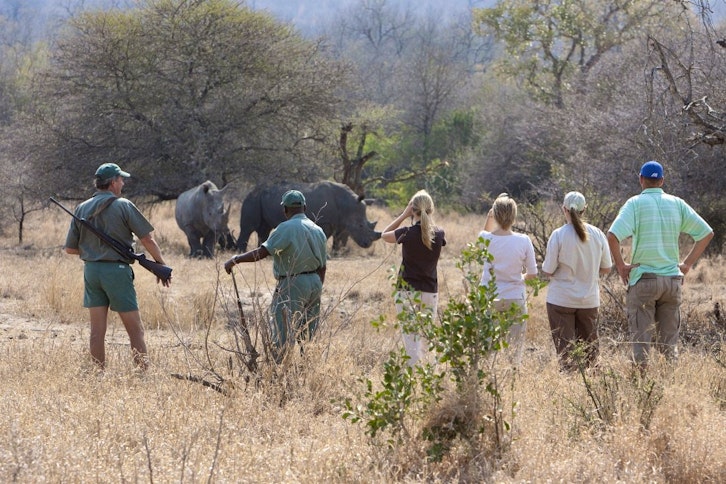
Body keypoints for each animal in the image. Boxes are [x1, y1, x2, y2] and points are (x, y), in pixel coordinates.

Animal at [237, 181, 381, 252]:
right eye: (360, 226)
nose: (367, 244)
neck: (347, 204)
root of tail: (250, 191)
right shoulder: (325, 222)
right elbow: (327, 235)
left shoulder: (339, 221)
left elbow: (338, 237)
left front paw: (336, 252)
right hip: (252, 199)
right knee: (248, 228)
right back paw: (240, 252)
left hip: (260, 199)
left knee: (264, 229)